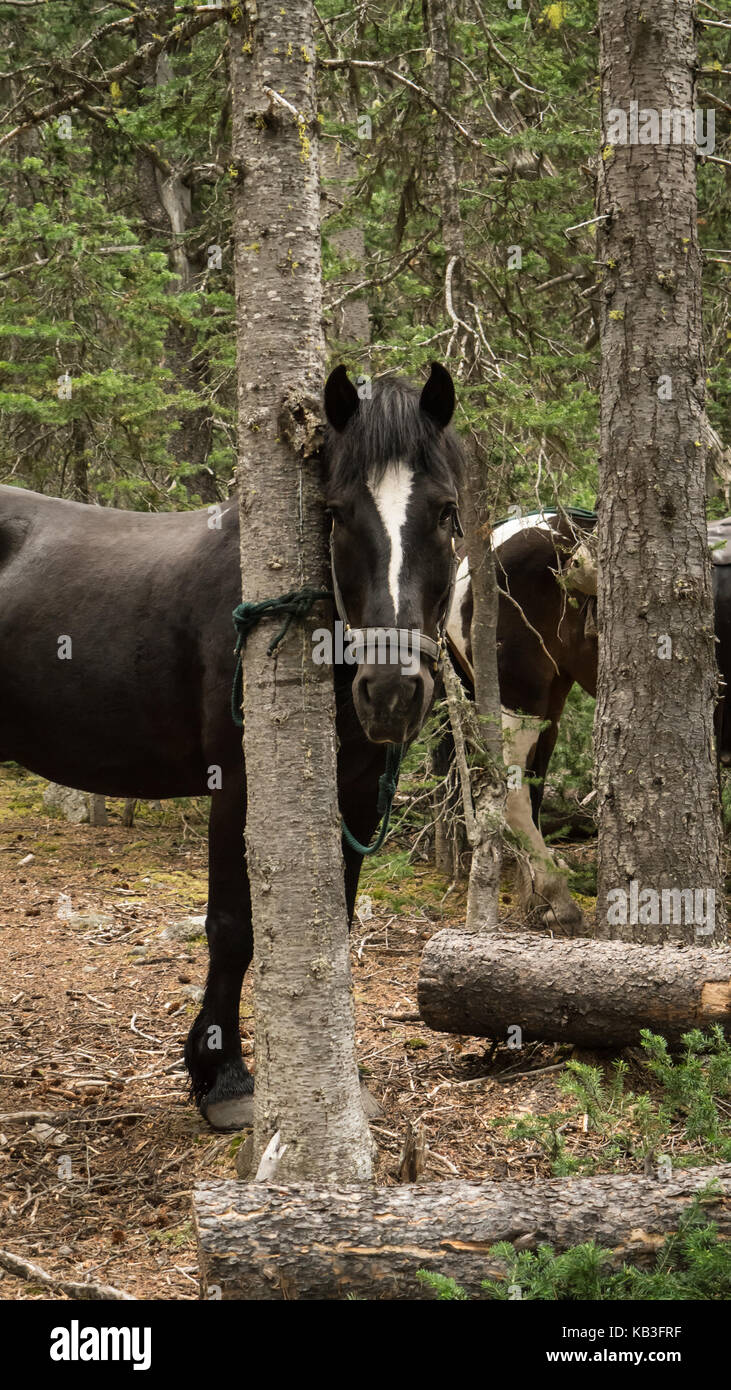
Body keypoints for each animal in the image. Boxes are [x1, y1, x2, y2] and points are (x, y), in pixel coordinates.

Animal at [0, 361, 464, 1128]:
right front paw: (223, 1076)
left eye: (446, 512)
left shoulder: (357, 793)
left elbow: (333, 922)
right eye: (337, 513)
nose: (392, 691)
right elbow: (231, 926)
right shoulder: (237, 784)